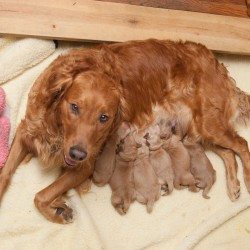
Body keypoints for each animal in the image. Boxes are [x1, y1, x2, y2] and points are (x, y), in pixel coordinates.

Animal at [0, 39, 250, 225]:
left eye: (104, 117)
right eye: (74, 107)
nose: (77, 154)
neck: (57, 127)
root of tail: (216, 61)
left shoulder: (85, 166)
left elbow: (40, 196)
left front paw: (59, 211)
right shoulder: (27, 129)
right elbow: (5, 174)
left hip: (208, 125)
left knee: (241, 144)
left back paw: (246, 179)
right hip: (198, 131)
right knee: (228, 152)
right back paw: (234, 186)